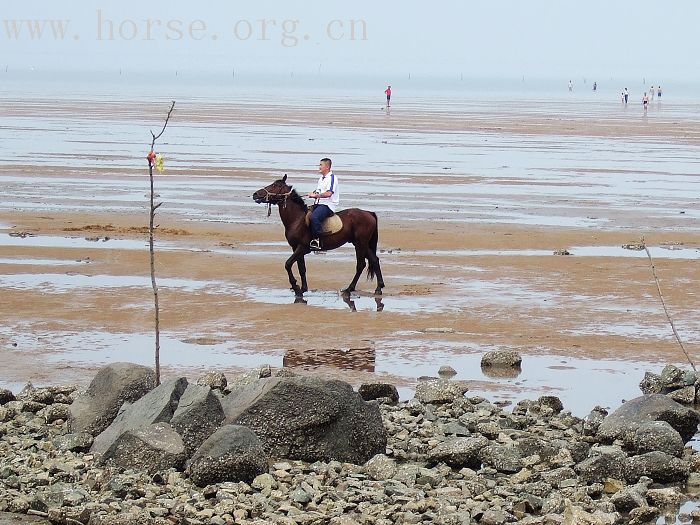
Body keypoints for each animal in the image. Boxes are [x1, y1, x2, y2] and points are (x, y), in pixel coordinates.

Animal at [252, 175, 382, 294]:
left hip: (360, 244)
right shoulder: (296, 248)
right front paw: (303, 288)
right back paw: (378, 288)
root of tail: (369, 213)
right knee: (374, 260)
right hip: (362, 244)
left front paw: (295, 286)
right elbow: (301, 268)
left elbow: (288, 264)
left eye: (276, 185)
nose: (255, 194)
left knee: (361, 264)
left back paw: (350, 288)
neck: (297, 220)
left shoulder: (302, 247)